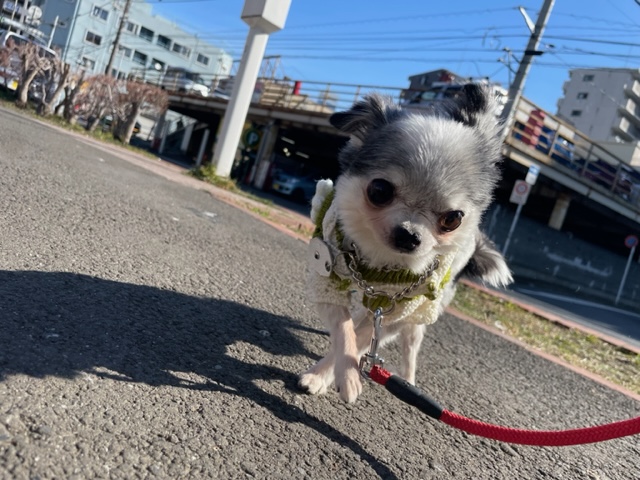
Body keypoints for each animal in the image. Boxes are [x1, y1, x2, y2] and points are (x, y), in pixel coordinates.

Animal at [299, 84, 512, 403]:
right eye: (379, 190)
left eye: (453, 219)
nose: (410, 235)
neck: (380, 260)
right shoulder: (328, 278)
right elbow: (344, 329)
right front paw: (339, 370)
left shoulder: (403, 309)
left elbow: (362, 340)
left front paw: (333, 375)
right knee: (360, 318)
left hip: (420, 316)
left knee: (407, 345)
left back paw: (408, 381)